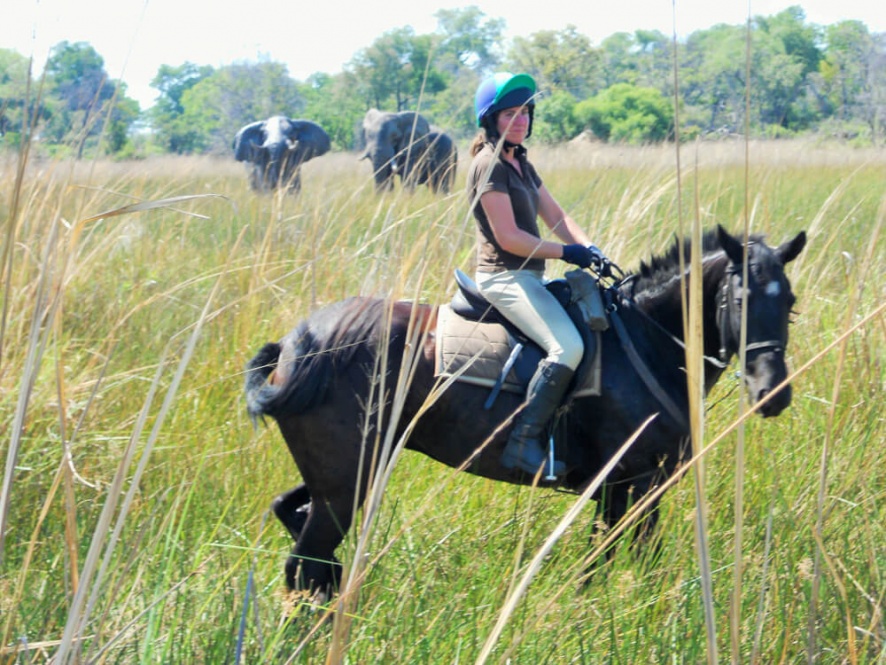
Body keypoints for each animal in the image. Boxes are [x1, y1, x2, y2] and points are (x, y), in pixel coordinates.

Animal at [246, 226, 808, 592]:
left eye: (789, 302)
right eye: (742, 300)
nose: (773, 393)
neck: (648, 339)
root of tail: (297, 346)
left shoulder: (631, 487)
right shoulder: (630, 482)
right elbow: (608, 564)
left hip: (347, 474)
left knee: (294, 524)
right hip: (345, 485)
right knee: (305, 564)